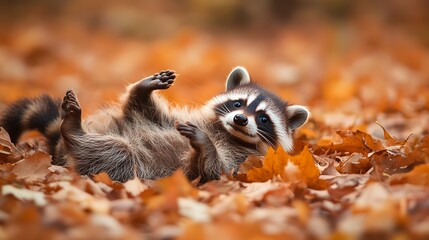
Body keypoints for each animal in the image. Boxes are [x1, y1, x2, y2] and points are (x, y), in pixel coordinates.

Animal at [0, 66, 308, 183]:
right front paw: (142, 90)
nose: (241, 119)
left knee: (116, 153)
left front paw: (206, 144)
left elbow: (211, 170)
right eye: (237, 104)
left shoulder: (245, 161)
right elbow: (144, 112)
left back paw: (73, 131)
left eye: (263, 118)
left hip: (126, 166)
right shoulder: (177, 120)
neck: (227, 131)